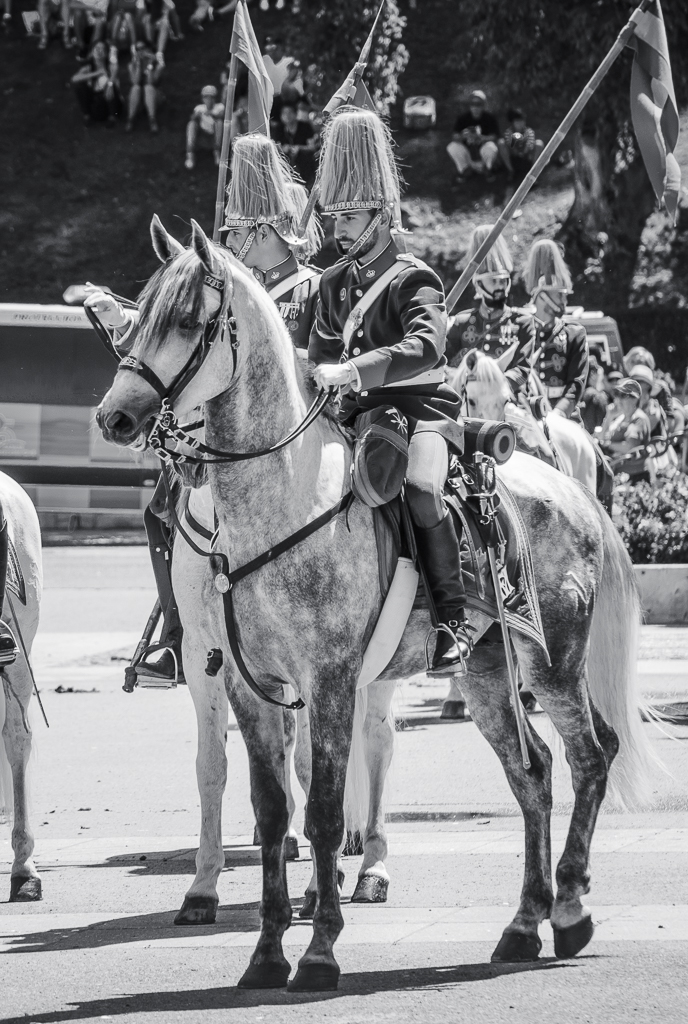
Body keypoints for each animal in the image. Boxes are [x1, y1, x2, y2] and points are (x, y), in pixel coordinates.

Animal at [95, 216, 651, 991]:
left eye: (183, 320)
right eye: (134, 322)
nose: (114, 416)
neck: (282, 498)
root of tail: (572, 490)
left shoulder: (328, 680)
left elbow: (326, 810)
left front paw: (320, 950)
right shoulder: (244, 683)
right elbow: (273, 811)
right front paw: (267, 953)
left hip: (553, 665)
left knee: (591, 757)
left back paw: (568, 910)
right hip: (487, 672)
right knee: (533, 772)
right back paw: (523, 923)